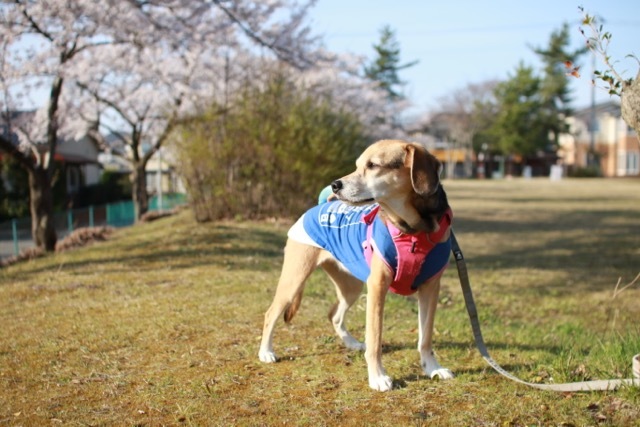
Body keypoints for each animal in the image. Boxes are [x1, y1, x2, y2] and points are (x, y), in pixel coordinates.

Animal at [258, 140, 452, 392]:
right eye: (358, 165)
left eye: (373, 165)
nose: (335, 185)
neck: (412, 231)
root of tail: (316, 207)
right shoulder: (377, 287)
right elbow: (375, 339)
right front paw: (378, 376)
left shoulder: (430, 289)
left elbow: (425, 337)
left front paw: (432, 368)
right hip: (294, 279)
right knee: (270, 313)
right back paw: (266, 352)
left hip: (351, 287)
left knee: (334, 315)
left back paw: (351, 343)